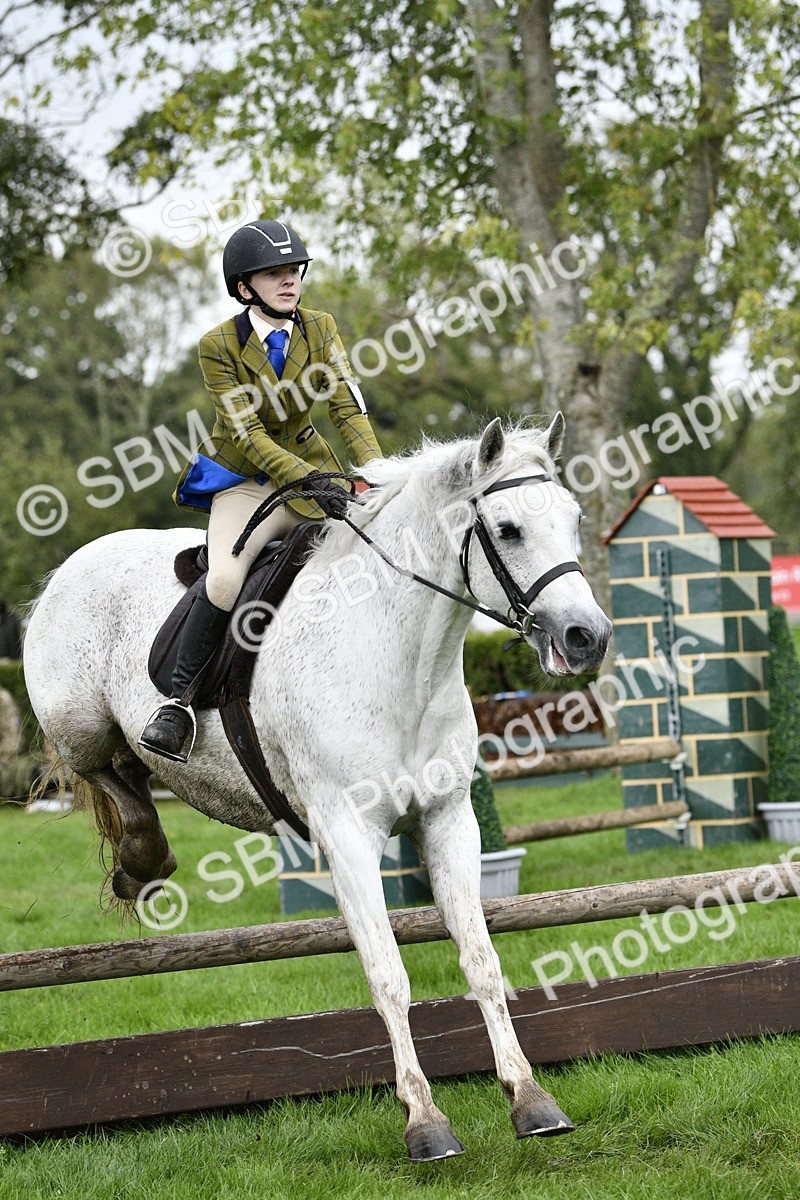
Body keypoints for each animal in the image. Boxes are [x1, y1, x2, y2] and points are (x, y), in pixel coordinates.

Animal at [23, 415, 612, 1161]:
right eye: (506, 529)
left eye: (573, 519)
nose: (587, 636)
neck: (402, 656)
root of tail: (71, 565)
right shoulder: (349, 835)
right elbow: (388, 975)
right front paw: (426, 1123)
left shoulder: (450, 820)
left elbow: (481, 960)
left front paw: (531, 1099)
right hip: (78, 723)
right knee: (102, 770)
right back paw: (140, 855)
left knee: (127, 777)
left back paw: (142, 858)